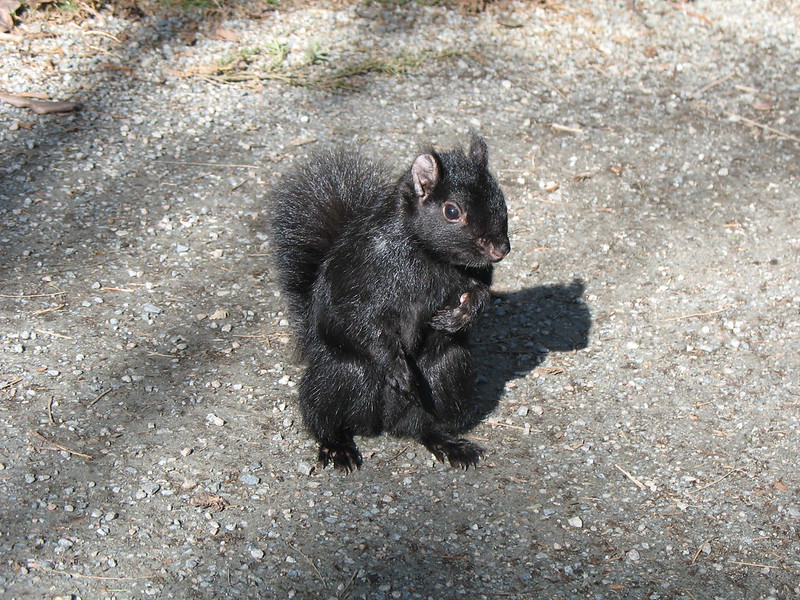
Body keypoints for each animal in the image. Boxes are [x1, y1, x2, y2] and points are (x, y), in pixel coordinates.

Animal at [270, 131, 510, 472]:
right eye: (452, 211)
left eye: (500, 198)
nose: (500, 250)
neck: (428, 254)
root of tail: (382, 423)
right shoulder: (362, 272)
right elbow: (359, 318)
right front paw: (397, 367)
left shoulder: (477, 273)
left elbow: (481, 292)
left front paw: (460, 316)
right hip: (338, 375)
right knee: (323, 417)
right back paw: (337, 447)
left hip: (449, 372)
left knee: (425, 426)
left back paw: (448, 444)